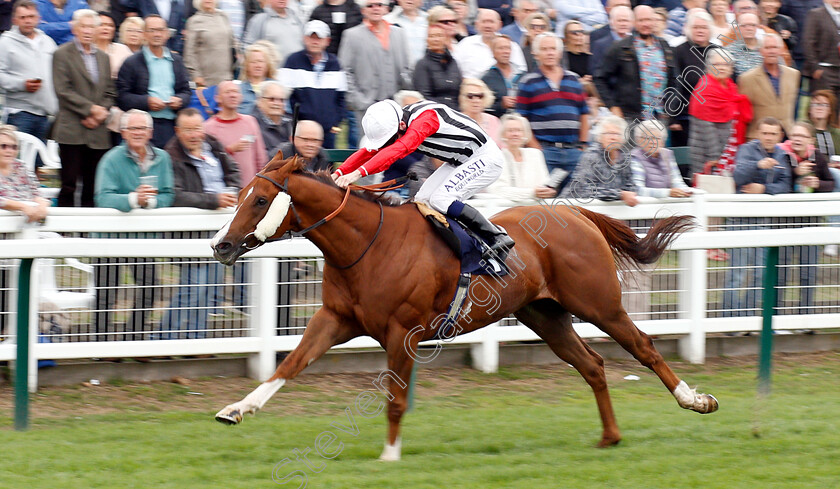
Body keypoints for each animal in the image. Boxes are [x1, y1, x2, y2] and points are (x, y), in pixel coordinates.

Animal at [213, 154, 720, 460]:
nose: (220, 245)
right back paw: (610, 436)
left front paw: (390, 454)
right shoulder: (336, 319)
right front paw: (236, 409)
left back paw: (696, 400)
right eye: (240, 195)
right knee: (592, 365)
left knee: (645, 348)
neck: (365, 243)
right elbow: (289, 365)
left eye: (260, 199)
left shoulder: (403, 332)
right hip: (546, 315)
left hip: (600, 304)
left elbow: (396, 398)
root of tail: (576, 213)